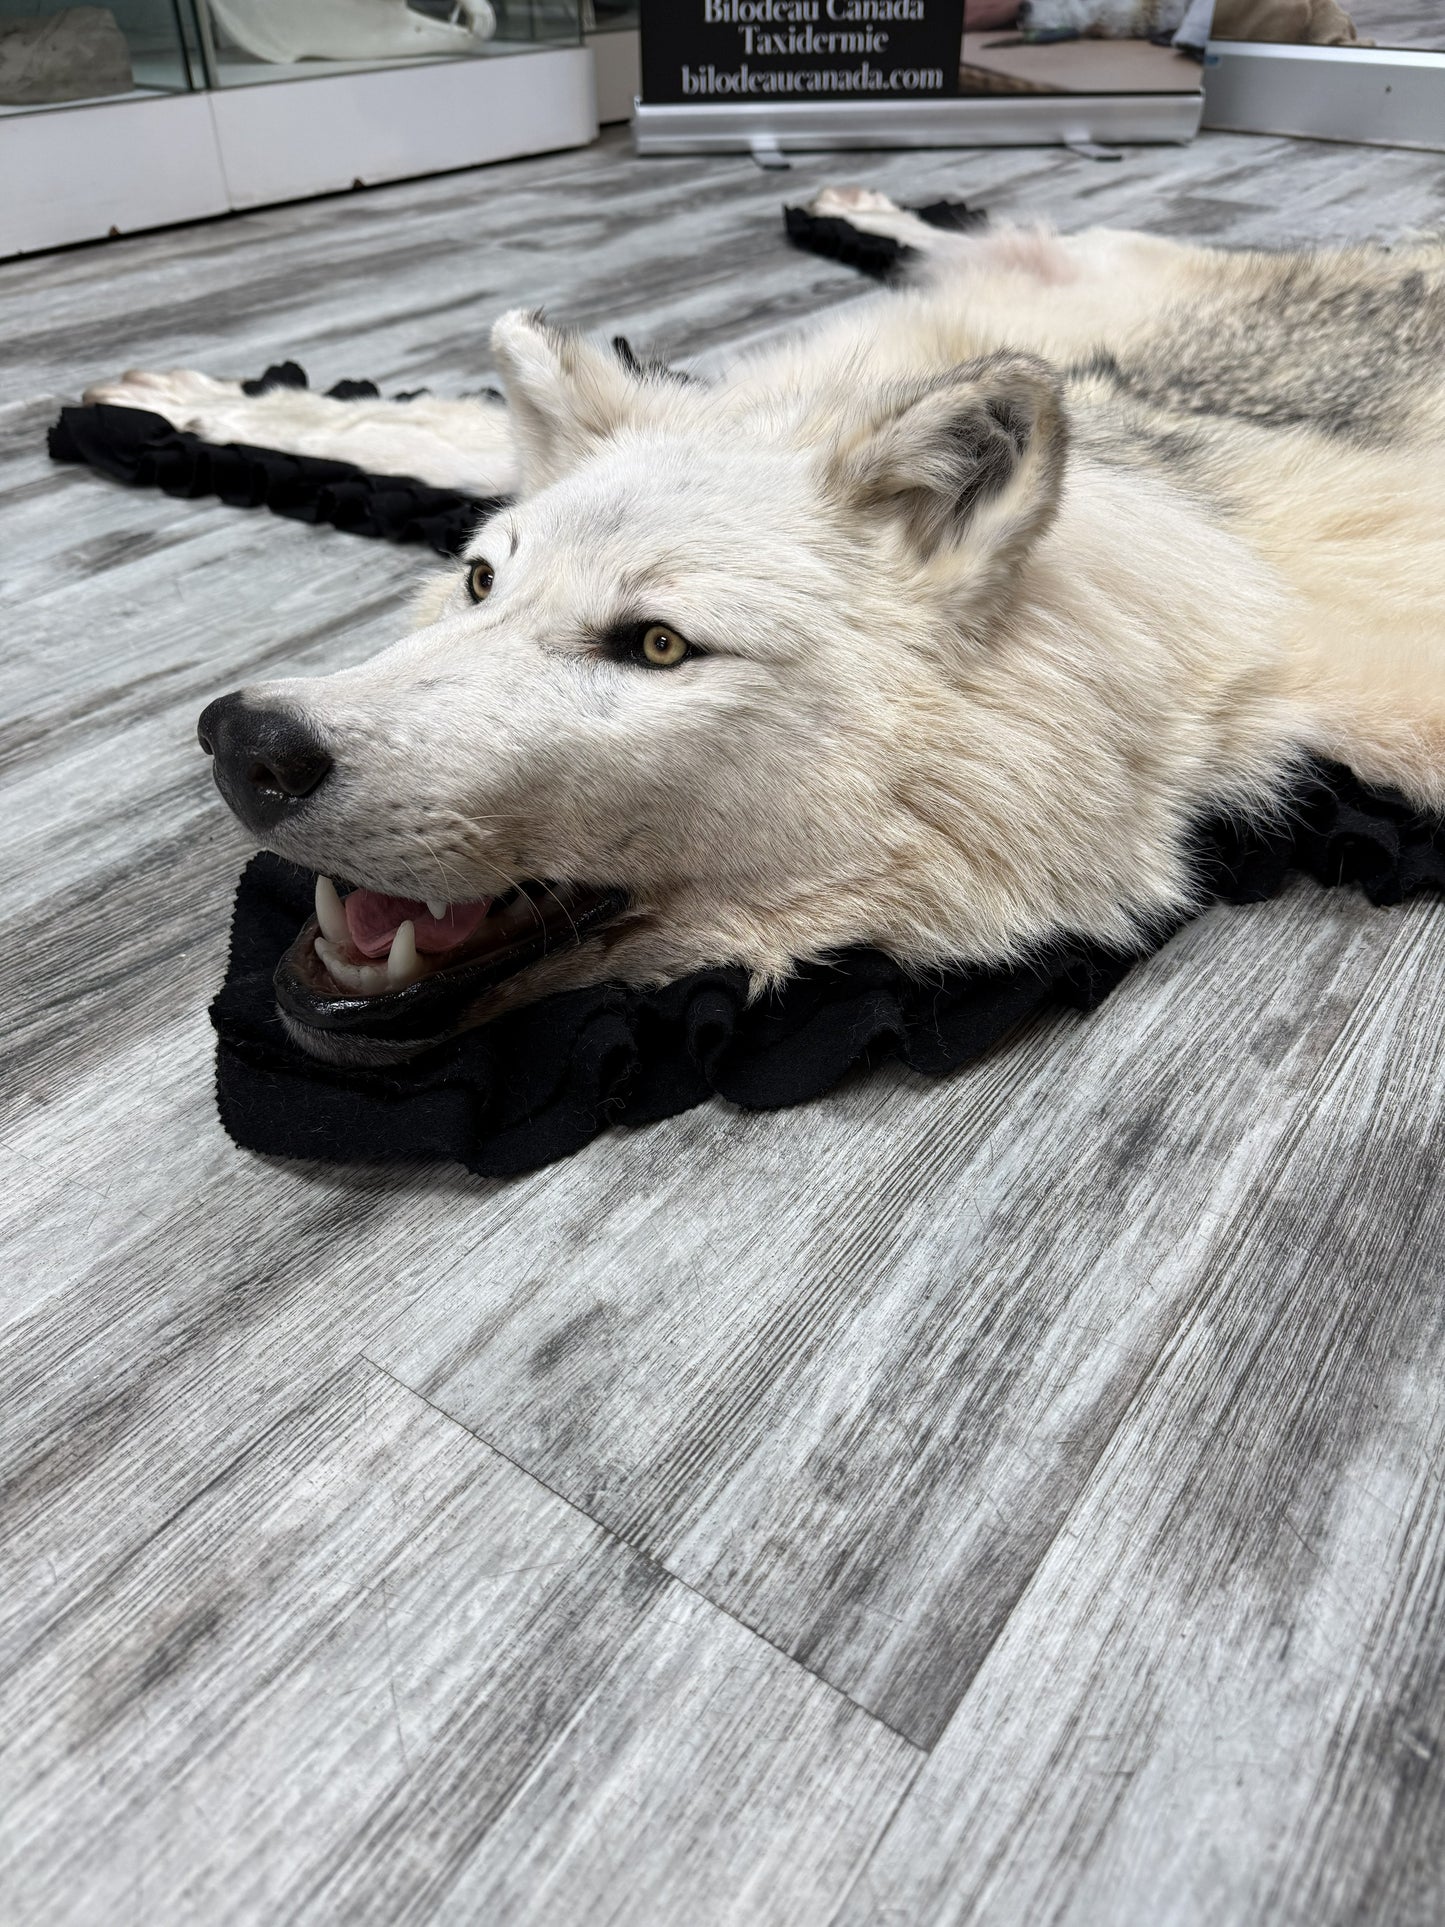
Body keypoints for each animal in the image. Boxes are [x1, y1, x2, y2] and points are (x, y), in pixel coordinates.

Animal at [86, 191, 1445, 1062]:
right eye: (479, 584)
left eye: (657, 646)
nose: (245, 742)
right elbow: (410, 426)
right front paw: (197, 409)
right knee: (1012, 234)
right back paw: (863, 204)